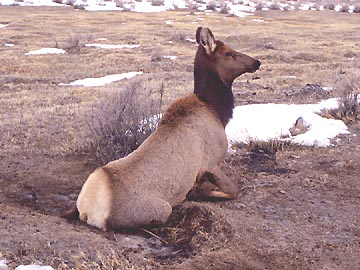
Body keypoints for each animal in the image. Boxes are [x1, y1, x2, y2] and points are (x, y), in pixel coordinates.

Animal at [64, 26, 260, 230]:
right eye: (229, 53)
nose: (256, 62)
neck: (216, 111)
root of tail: (88, 208)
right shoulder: (212, 163)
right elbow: (234, 191)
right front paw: (196, 193)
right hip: (161, 210)